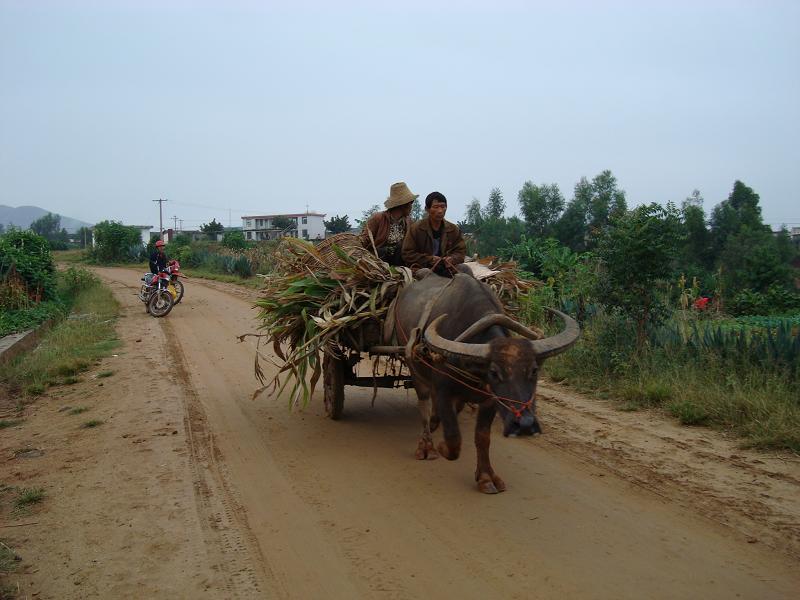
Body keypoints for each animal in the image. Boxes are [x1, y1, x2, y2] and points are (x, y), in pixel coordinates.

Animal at [396, 274, 580, 494]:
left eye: (534, 370)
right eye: (494, 372)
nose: (525, 425)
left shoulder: (490, 401)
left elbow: (483, 437)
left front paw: (485, 477)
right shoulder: (443, 390)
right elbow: (453, 439)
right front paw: (441, 447)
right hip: (415, 369)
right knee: (424, 405)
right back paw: (427, 446)